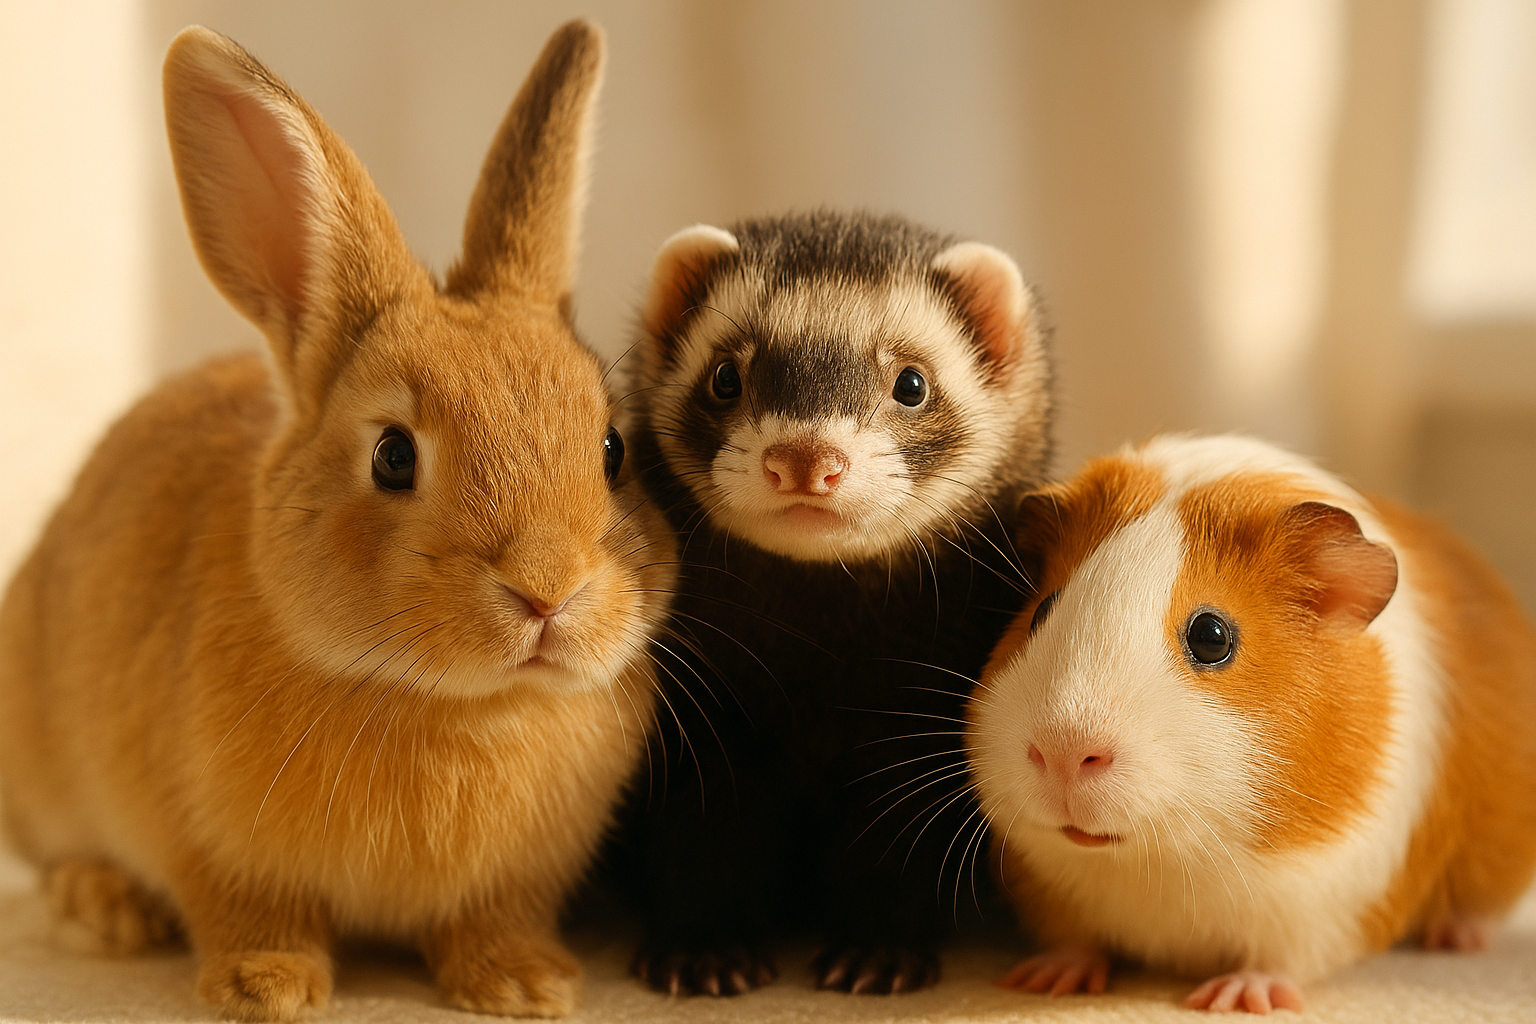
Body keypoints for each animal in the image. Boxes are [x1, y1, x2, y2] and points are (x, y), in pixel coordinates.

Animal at [0, 19, 673, 1021]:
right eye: (393, 456)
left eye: (613, 449)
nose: (548, 592)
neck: (456, 704)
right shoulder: (217, 849)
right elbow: (250, 913)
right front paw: (264, 988)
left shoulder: (516, 882)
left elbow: (493, 920)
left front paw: (527, 983)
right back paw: (105, 906)